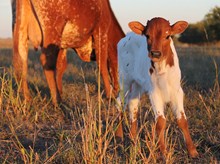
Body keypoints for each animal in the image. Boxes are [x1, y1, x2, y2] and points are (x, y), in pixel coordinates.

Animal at [117, 17, 199, 158]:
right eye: (147, 35)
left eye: (168, 36)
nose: (155, 53)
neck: (162, 69)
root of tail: (127, 36)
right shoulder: (154, 92)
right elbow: (160, 121)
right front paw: (164, 152)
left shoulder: (177, 91)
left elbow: (182, 120)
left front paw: (192, 151)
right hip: (124, 79)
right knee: (119, 102)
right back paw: (119, 137)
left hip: (138, 83)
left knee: (133, 104)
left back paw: (133, 141)